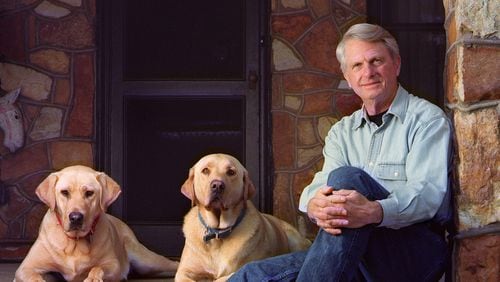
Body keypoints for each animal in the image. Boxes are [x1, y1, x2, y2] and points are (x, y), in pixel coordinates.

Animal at [14, 165, 180, 282]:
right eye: (64, 192)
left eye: (89, 193)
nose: (76, 217)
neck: (75, 242)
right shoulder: (26, 267)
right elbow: (34, 276)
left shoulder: (113, 265)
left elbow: (97, 267)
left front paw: (93, 277)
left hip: (146, 260)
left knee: (172, 263)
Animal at [174, 154, 310, 282]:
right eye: (205, 170)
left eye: (231, 172)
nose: (217, 185)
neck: (218, 233)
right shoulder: (183, 272)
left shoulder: (241, 268)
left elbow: (222, 278)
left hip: (294, 239)